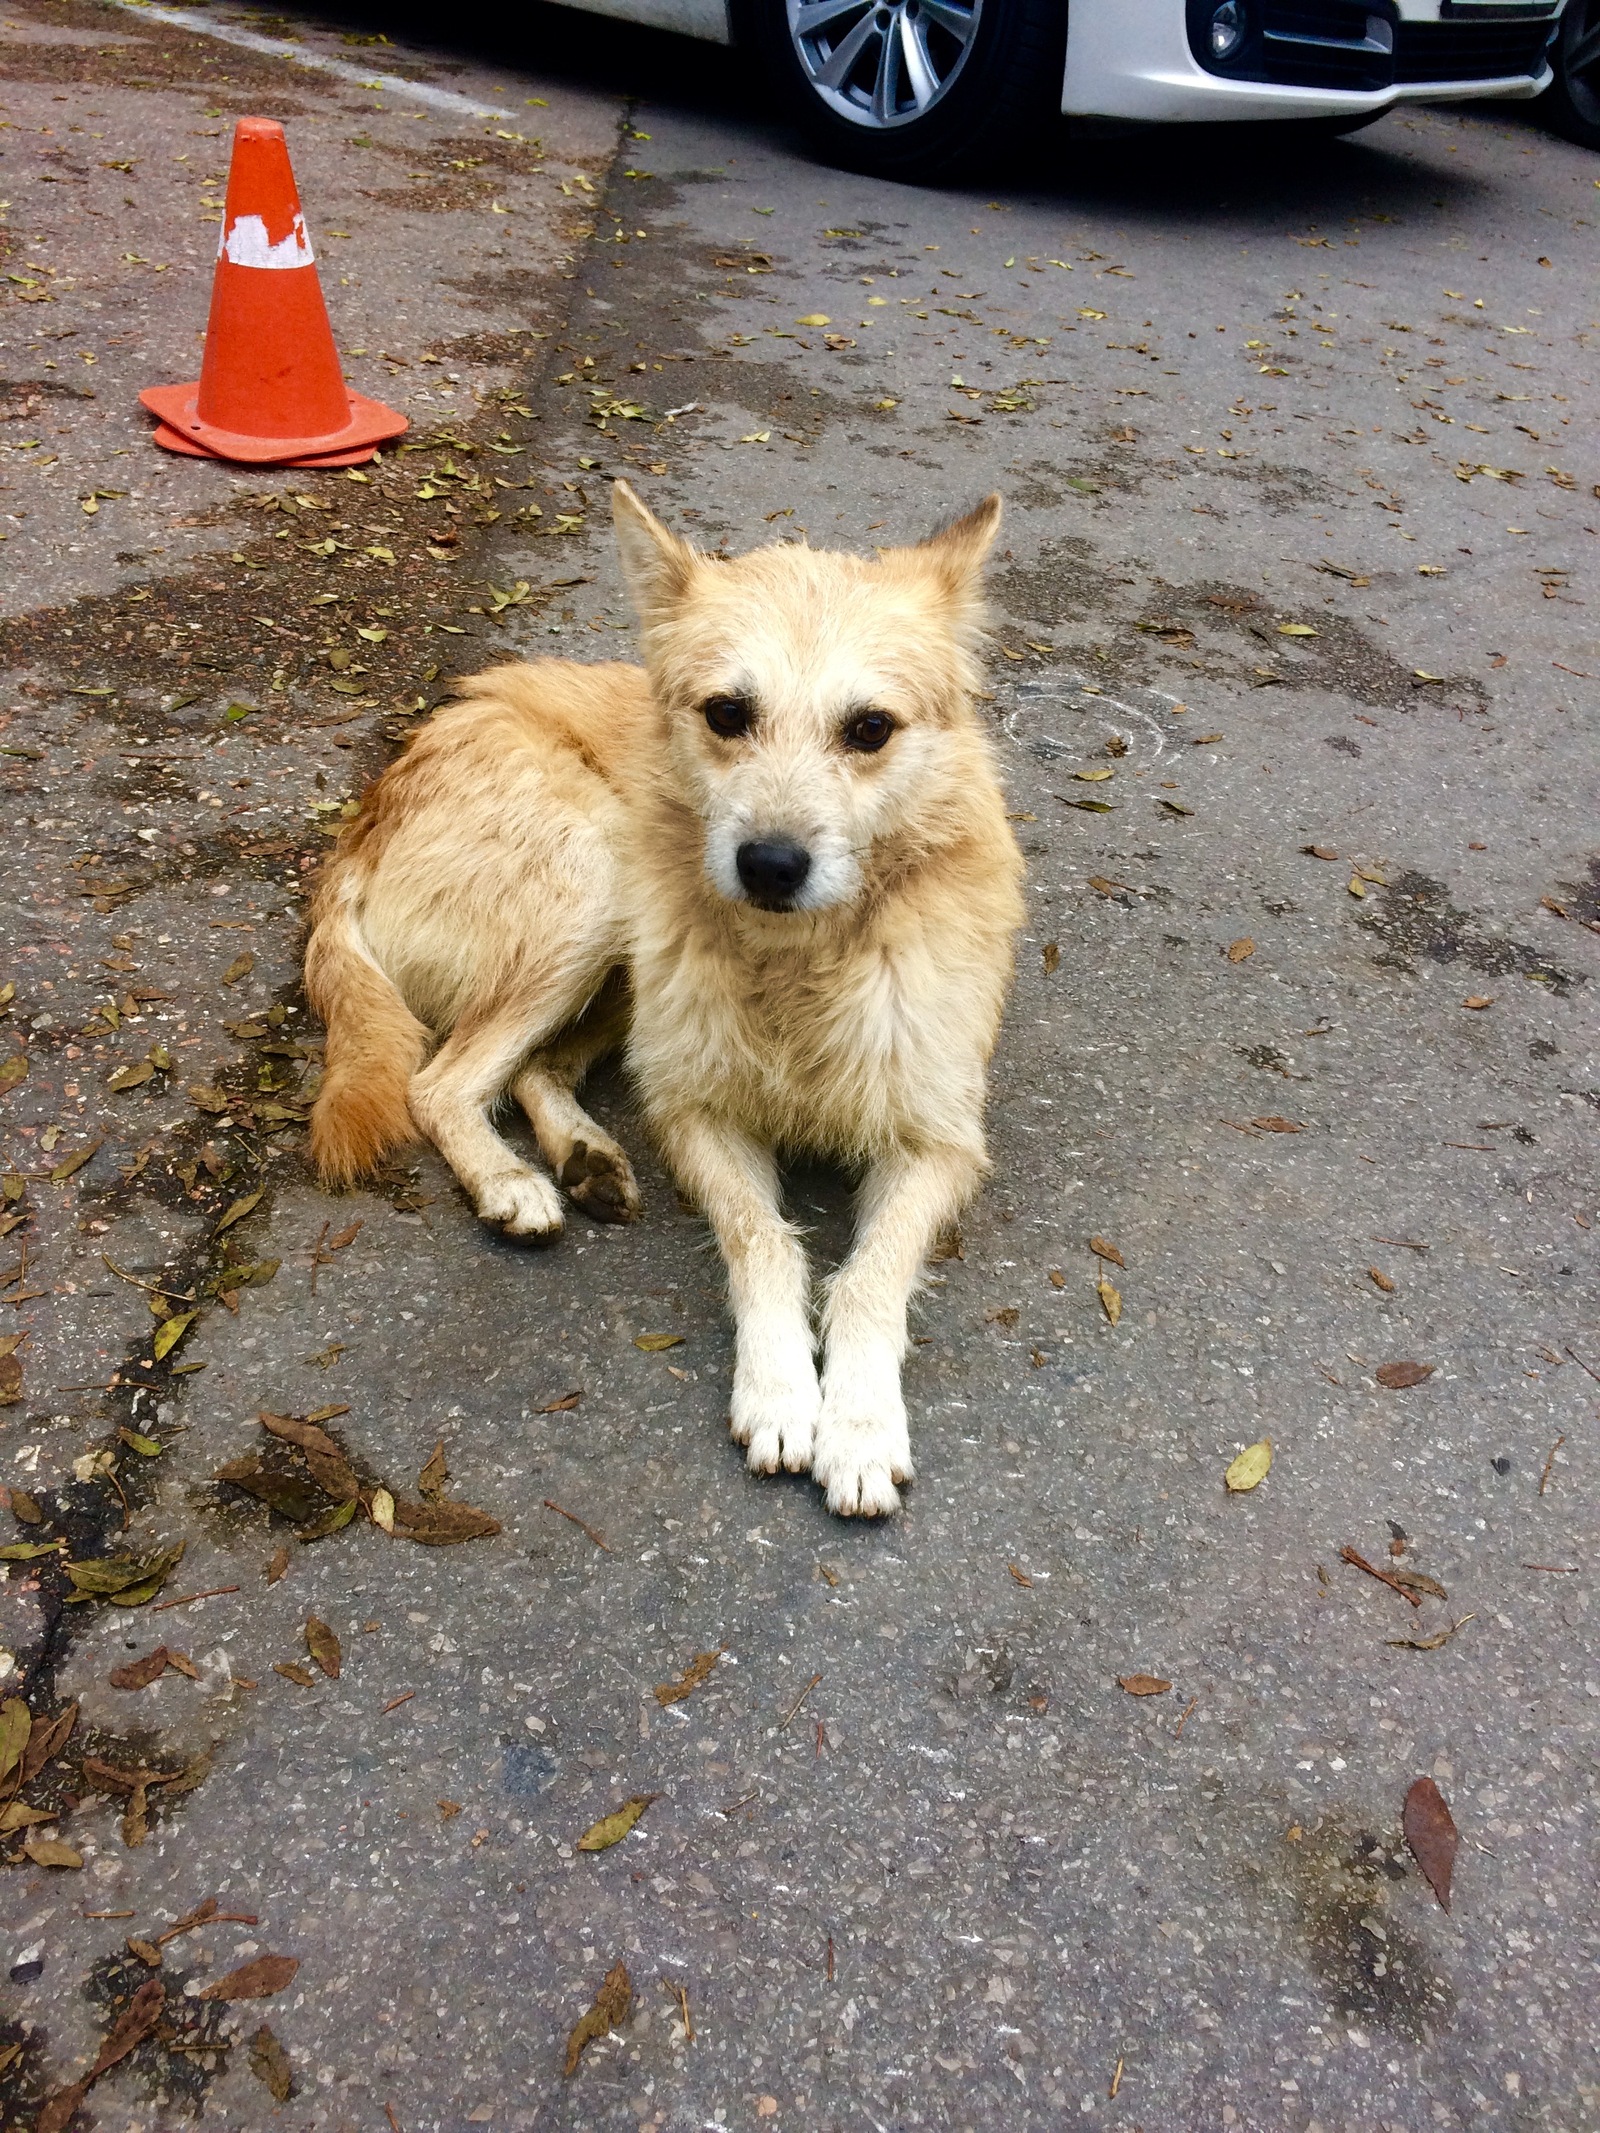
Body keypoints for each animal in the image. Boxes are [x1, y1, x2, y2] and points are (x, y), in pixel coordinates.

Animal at [307, 484, 1019, 1518]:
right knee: (442, 1081)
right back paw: (512, 1180)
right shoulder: (699, 1115)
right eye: (728, 712)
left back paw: (585, 1154)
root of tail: (370, 808)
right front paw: (780, 1391)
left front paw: (857, 1423)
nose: (769, 865)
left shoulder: (937, 1140)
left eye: (870, 729)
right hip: (596, 883)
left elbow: (870, 1276)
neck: (800, 962)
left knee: (533, 1068)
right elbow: (765, 1242)